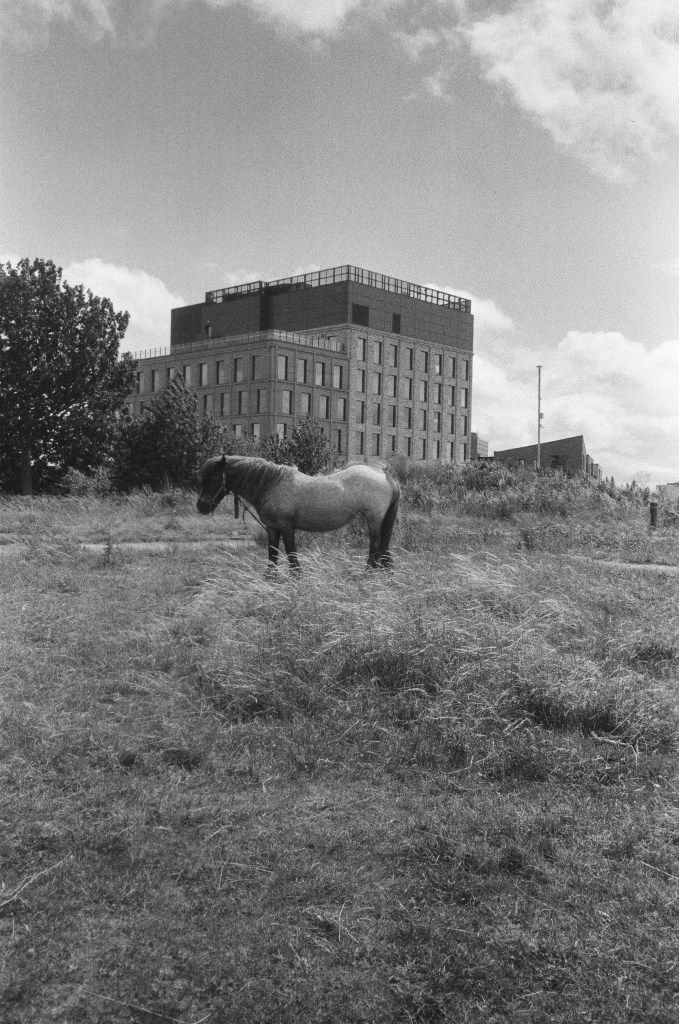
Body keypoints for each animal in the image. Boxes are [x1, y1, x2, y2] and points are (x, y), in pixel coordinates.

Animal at [196, 455, 400, 571]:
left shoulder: (286, 527)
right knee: (383, 548)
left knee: (375, 548)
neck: (271, 484)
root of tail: (384, 474)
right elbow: (272, 554)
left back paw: (368, 575)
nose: (201, 506)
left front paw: (296, 579)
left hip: (374, 519)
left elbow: (291, 554)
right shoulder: (272, 528)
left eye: (213, 478)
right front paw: (270, 580)